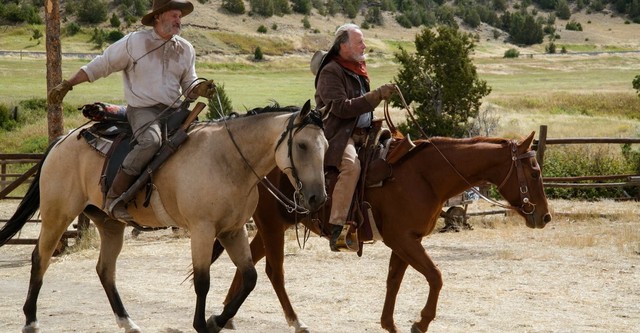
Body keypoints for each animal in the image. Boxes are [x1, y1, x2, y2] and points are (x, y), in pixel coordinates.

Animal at [0, 101, 330, 332]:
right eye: (302, 145)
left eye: (326, 146)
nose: (318, 198)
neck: (228, 160)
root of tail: (61, 140)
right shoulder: (203, 230)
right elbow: (202, 281)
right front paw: (202, 325)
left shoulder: (233, 231)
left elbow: (249, 278)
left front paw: (217, 320)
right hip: (58, 214)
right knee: (40, 258)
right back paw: (30, 321)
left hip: (109, 224)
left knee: (105, 270)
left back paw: (128, 323)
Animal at [215, 131, 552, 332]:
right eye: (535, 171)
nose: (545, 216)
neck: (425, 175)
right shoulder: (403, 239)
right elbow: (436, 276)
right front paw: (421, 322)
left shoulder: (406, 241)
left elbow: (394, 281)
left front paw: (390, 323)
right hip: (271, 225)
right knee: (274, 272)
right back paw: (295, 322)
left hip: (273, 225)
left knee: (248, 263)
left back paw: (227, 317)